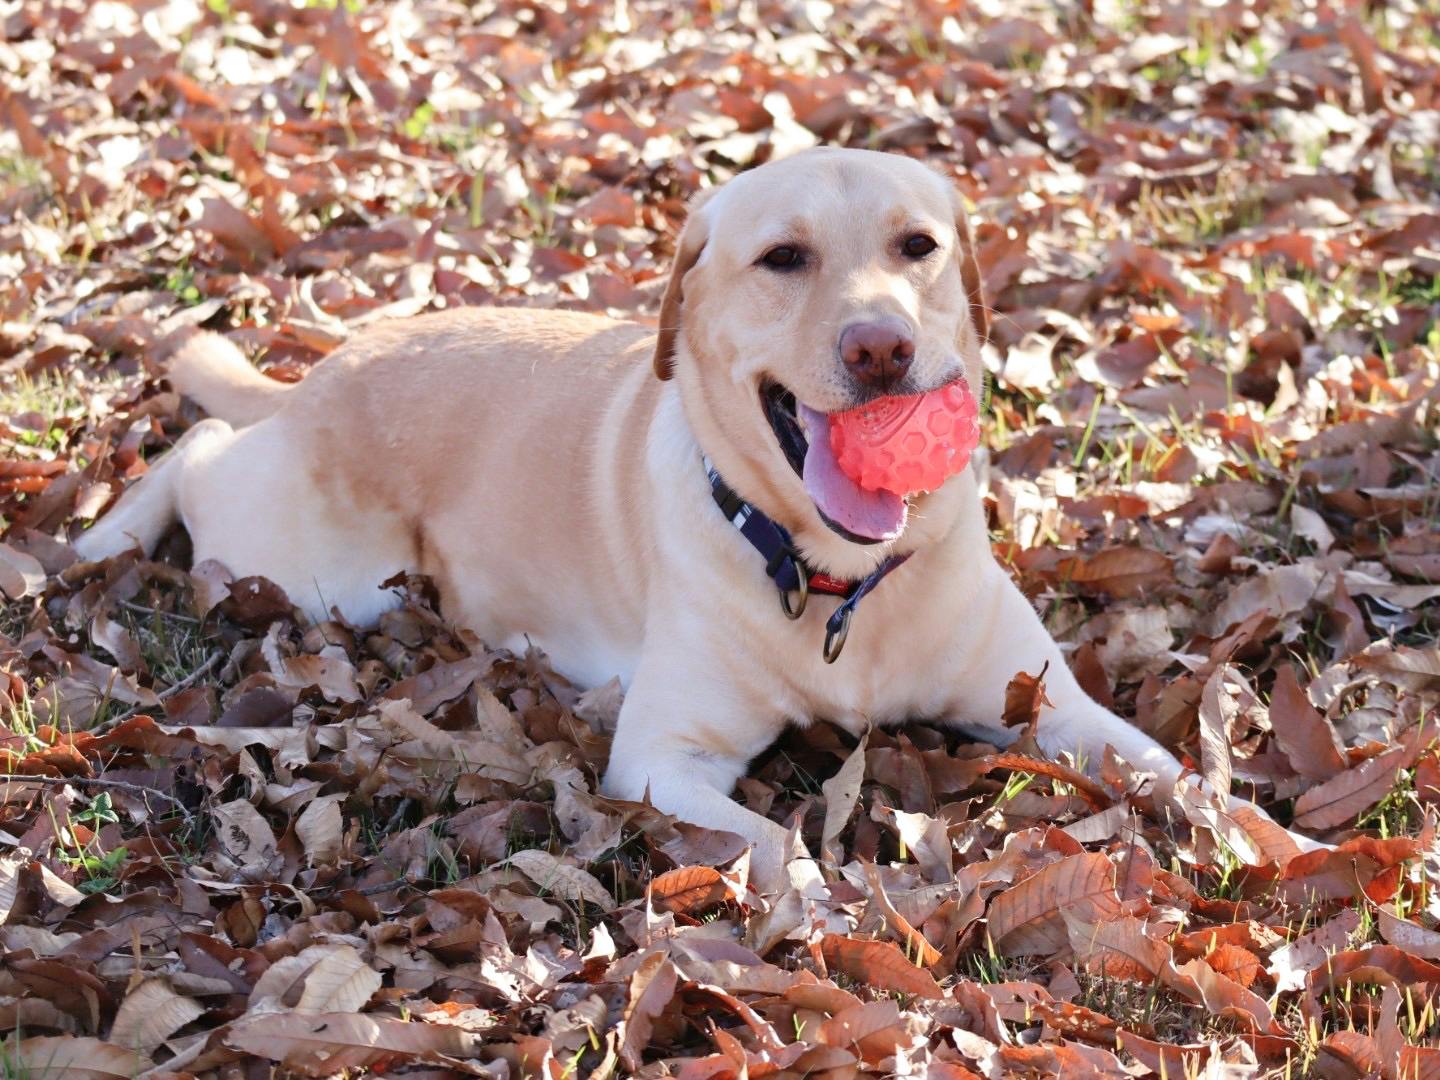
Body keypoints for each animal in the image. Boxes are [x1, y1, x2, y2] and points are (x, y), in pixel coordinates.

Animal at [75, 148, 1319, 875]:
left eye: (918, 247)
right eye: (784, 258)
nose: (882, 347)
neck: (834, 580)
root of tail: (326, 370)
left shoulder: (1050, 704)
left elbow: (1171, 771)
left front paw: (1271, 837)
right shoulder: (663, 760)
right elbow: (778, 848)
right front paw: (829, 915)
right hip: (315, 568)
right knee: (198, 449)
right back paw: (96, 537)